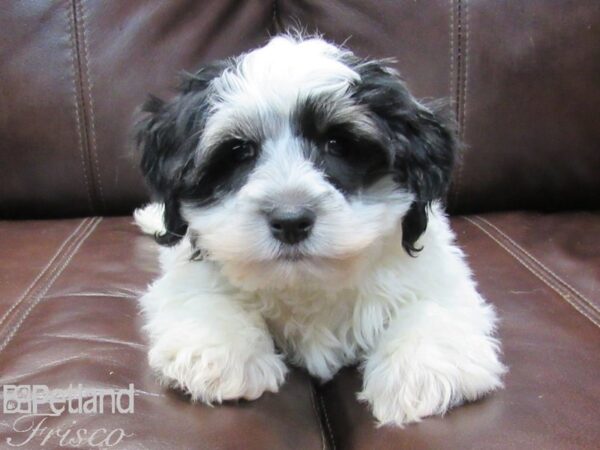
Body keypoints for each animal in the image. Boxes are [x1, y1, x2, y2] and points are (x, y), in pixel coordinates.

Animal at [132, 34, 506, 426]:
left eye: (337, 144)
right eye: (239, 151)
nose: (290, 221)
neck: (306, 283)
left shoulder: (436, 272)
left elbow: (434, 306)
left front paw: (418, 373)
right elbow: (203, 295)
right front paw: (219, 353)